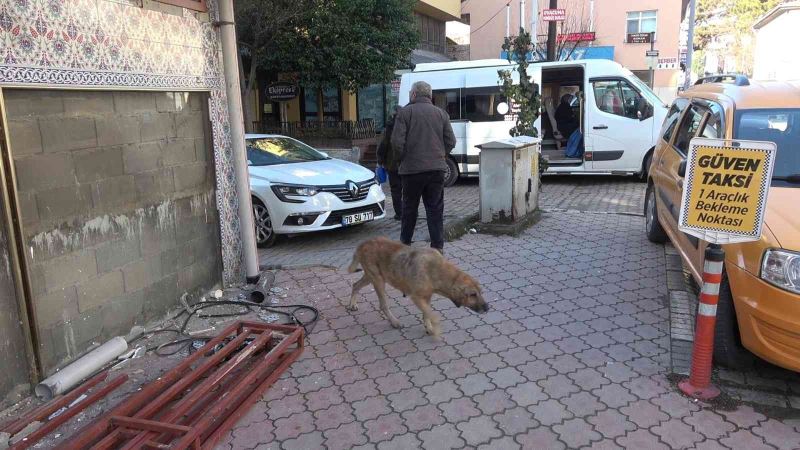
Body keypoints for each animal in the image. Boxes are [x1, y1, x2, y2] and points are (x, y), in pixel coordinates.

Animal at [346, 239, 488, 338]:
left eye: (480, 292)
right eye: (472, 295)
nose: (487, 308)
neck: (437, 270)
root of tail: (363, 243)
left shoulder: (427, 296)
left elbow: (426, 314)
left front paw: (428, 327)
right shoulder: (416, 297)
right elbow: (431, 314)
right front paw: (434, 329)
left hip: (371, 277)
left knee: (355, 285)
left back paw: (352, 304)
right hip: (378, 280)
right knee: (383, 305)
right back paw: (394, 322)